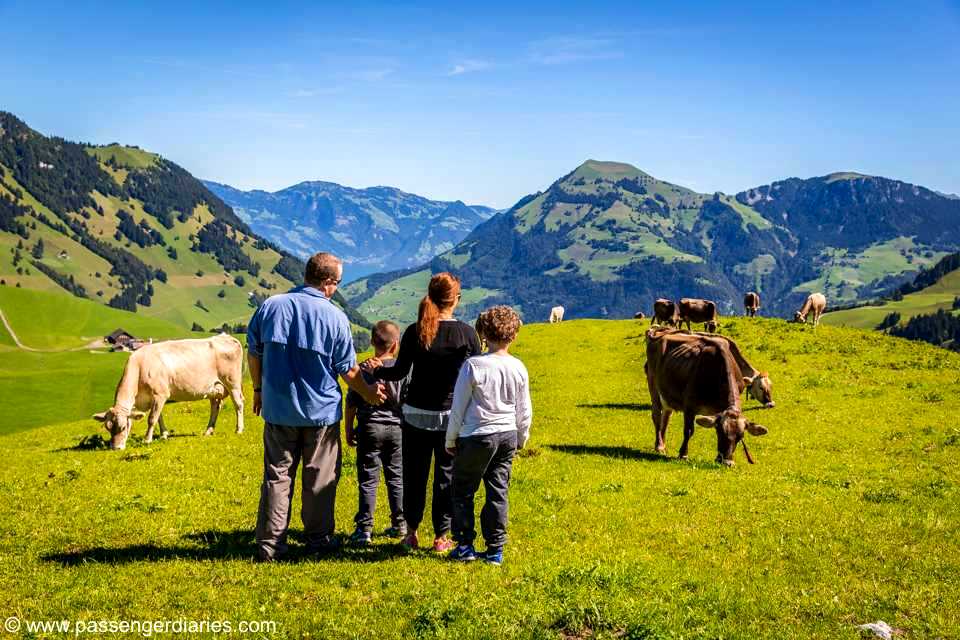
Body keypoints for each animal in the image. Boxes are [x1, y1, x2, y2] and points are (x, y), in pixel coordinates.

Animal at [92, 336, 246, 450]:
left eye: (123, 427)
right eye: (107, 427)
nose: (115, 448)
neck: (140, 367)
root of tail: (227, 337)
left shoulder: (160, 394)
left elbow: (152, 418)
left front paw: (147, 440)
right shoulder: (154, 398)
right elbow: (159, 417)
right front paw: (163, 435)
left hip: (232, 383)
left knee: (238, 404)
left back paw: (239, 429)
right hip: (215, 388)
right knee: (215, 407)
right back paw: (208, 431)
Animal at [640, 330, 768, 464]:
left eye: (740, 436)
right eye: (720, 432)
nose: (727, 462)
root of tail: (659, 332)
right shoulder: (689, 406)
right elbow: (688, 431)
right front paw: (683, 454)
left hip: (667, 394)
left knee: (666, 417)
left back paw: (663, 444)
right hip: (653, 385)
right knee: (656, 416)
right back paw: (659, 446)